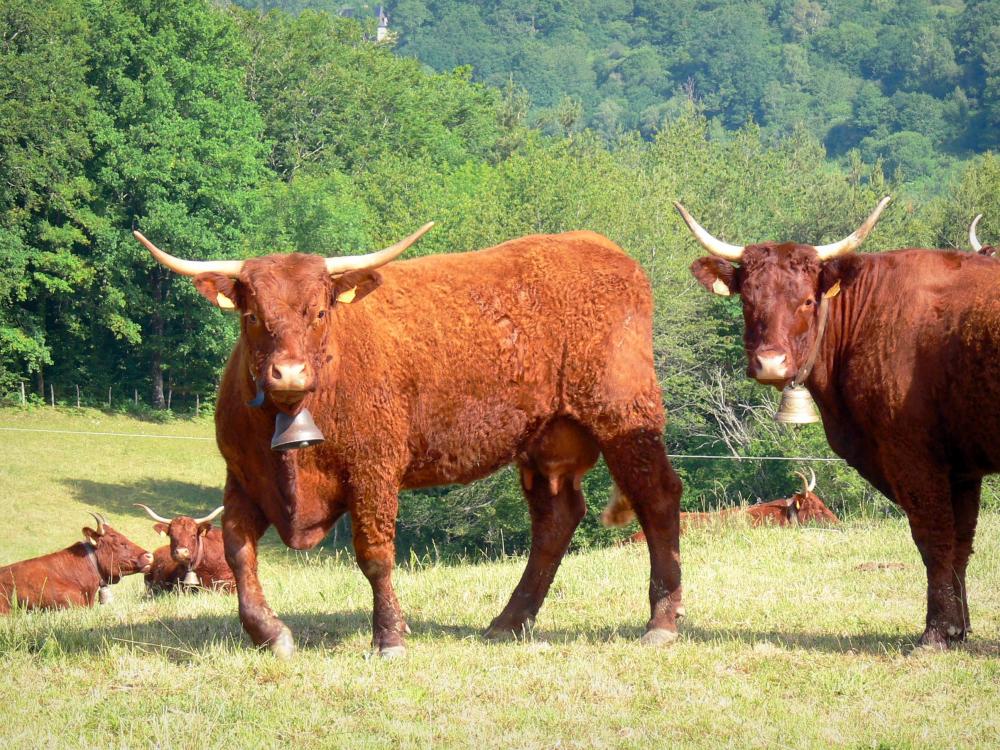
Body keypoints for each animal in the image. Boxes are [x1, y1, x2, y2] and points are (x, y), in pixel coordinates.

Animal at [135, 224, 683, 658]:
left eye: (319, 312)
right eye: (252, 316)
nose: (288, 373)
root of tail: (599, 247)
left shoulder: (373, 470)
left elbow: (375, 554)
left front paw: (389, 637)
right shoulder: (245, 477)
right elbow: (239, 551)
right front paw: (269, 634)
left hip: (624, 416)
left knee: (657, 497)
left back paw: (661, 622)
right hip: (548, 442)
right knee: (556, 520)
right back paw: (508, 623)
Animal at [676, 196, 1000, 648]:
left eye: (807, 301)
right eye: (747, 300)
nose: (770, 363)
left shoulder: (915, 457)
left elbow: (934, 538)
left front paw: (937, 632)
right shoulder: (962, 468)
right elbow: (961, 542)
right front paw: (960, 628)